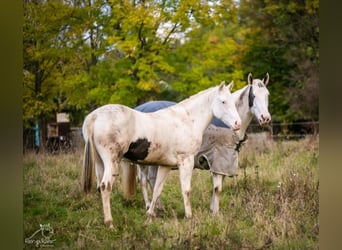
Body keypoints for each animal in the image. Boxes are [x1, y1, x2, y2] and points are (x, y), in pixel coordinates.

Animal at [81, 80, 242, 229]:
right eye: (223, 101)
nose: (237, 124)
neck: (187, 120)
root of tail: (94, 117)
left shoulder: (165, 166)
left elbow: (157, 190)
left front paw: (150, 216)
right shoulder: (186, 162)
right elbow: (186, 190)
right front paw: (189, 217)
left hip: (100, 163)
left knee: (100, 187)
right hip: (112, 163)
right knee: (105, 186)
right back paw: (110, 223)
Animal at [135, 72, 272, 213]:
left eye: (267, 95)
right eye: (253, 96)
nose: (265, 118)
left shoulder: (223, 164)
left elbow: (217, 187)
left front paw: (212, 209)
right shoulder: (217, 160)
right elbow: (218, 188)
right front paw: (215, 213)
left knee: (152, 180)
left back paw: (158, 207)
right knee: (144, 180)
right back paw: (149, 206)